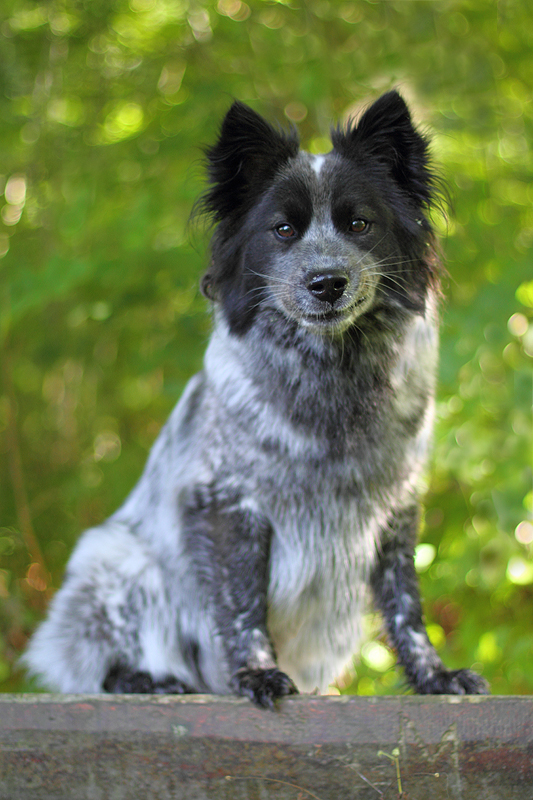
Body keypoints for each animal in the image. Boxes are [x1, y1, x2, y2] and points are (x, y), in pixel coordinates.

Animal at [25, 90, 486, 708]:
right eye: (284, 229)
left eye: (360, 224)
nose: (326, 283)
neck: (329, 378)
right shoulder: (228, 504)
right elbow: (242, 606)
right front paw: (257, 674)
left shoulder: (395, 510)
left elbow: (406, 606)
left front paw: (434, 677)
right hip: (118, 564)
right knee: (93, 664)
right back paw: (151, 680)